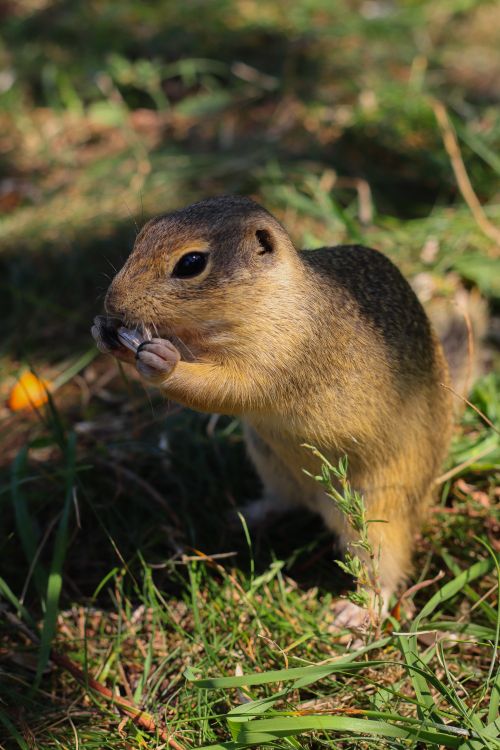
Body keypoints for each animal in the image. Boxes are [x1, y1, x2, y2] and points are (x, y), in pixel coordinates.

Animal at [92, 195, 455, 630]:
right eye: (142, 235)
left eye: (191, 263)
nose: (112, 303)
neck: (272, 298)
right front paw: (106, 335)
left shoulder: (280, 357)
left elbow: (225, 389)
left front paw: (163, 362)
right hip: (269, 460)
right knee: (286, 499)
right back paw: (246, 514)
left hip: (379, 510)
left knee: (385, 566)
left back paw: (360, 610)